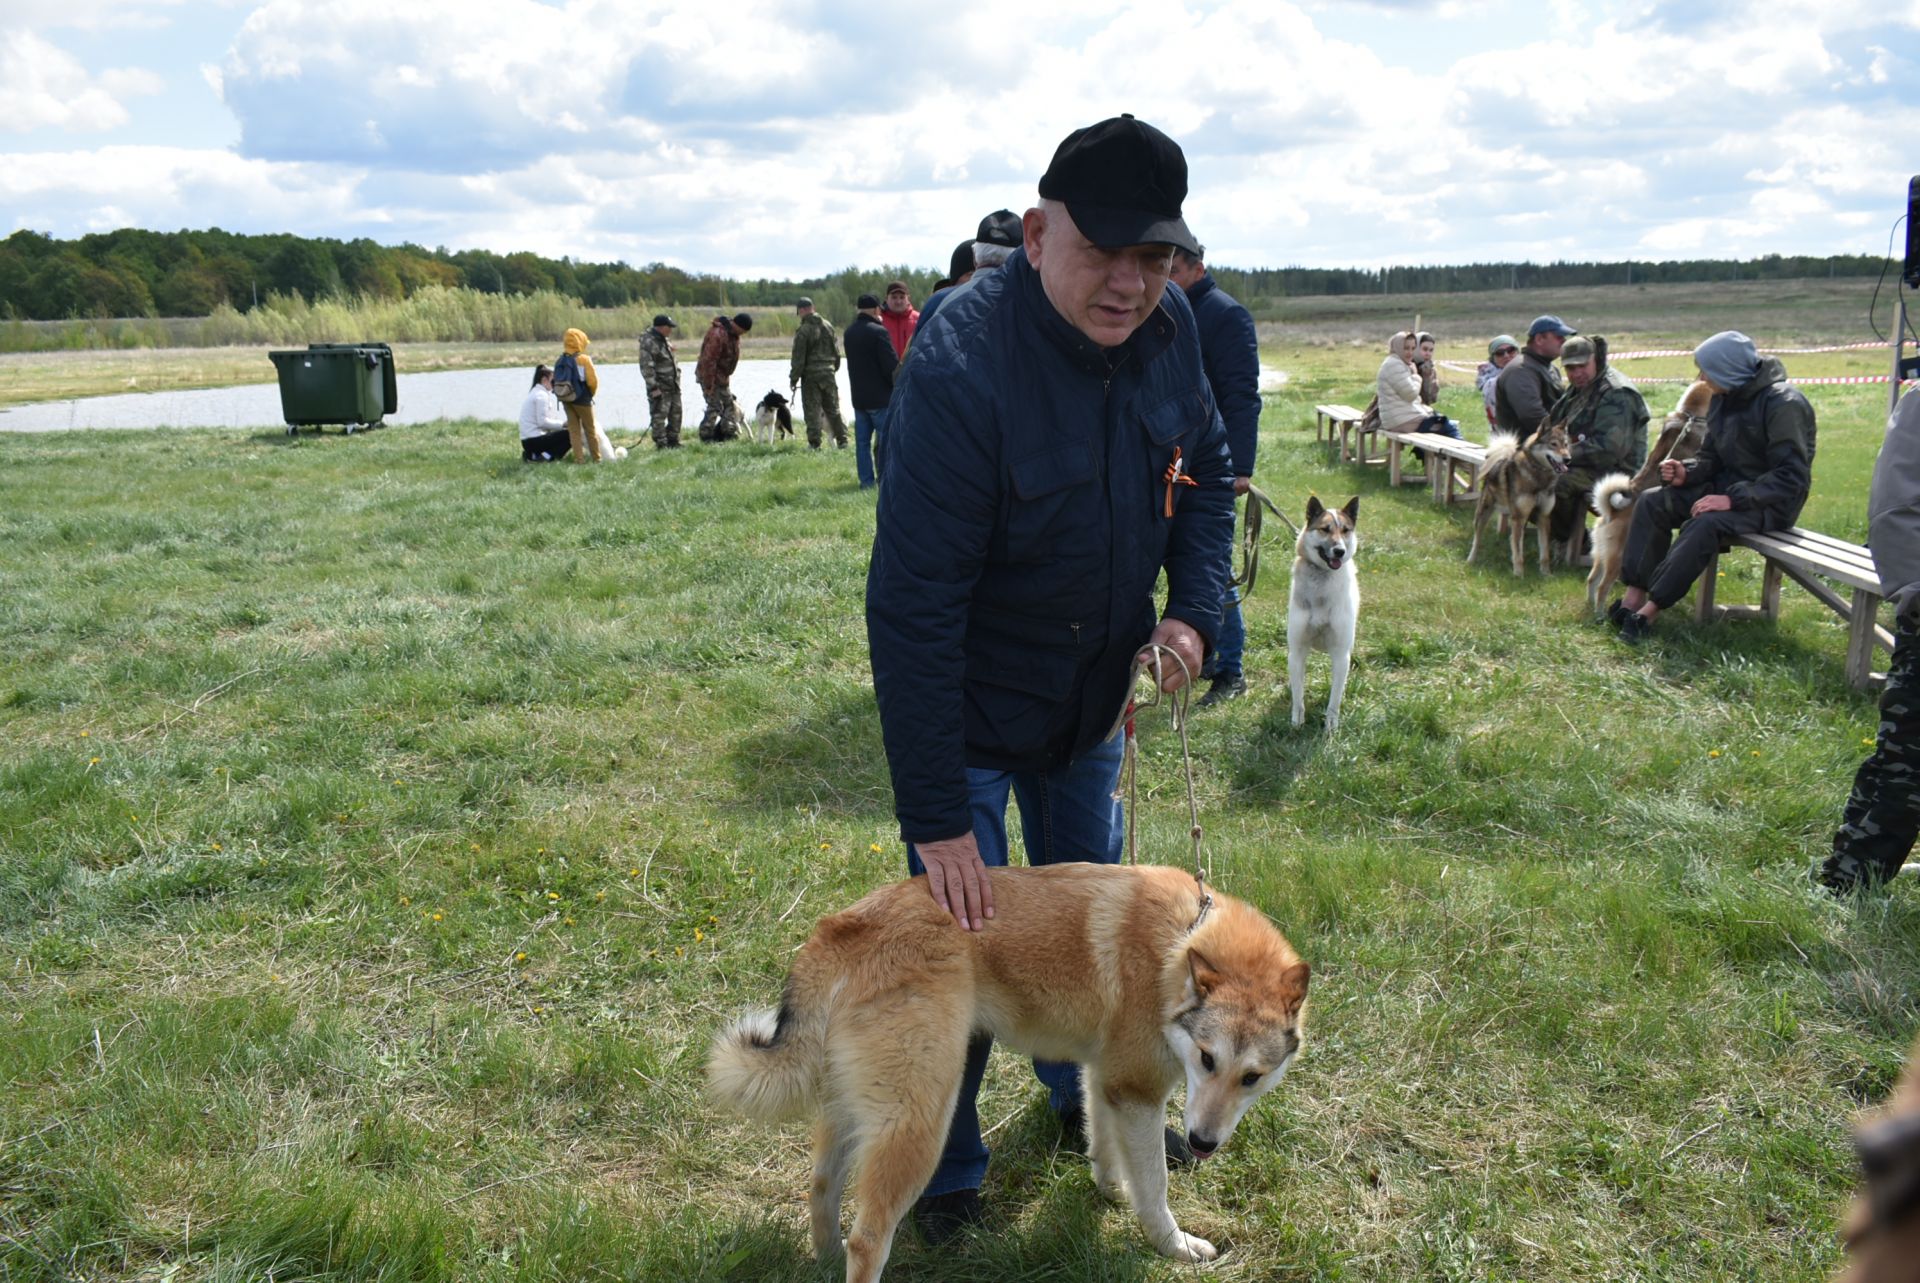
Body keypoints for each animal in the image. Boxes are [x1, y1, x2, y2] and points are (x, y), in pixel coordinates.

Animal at [714, 860, 1313, 1283]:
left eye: (1252, 1078)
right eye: (1207, 1059)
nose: (1202, 1143)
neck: (1181, 943)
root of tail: (844, 928)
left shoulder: (1105, 1082)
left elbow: (1106, 1148)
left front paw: (1111, 1191)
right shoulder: (1138, 1091)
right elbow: (1156, 1189)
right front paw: (1174, 1246)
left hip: (854, 1107)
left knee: (820, 1188)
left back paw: (824, 1256)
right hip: (922, 1121)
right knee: (868, 1240)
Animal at [1282, 495, 1359, 729]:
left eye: (1345, 530)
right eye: (1325, 529)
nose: (1340, 551)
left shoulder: (1341, 654)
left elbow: (1335, 697)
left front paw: (1331, 725)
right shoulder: (1297, 650)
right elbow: (1298, 695)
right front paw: (1297, 722)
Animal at [1582, 380, 1720, 614]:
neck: (1690, 415)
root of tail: (1612, 512)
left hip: (1600, 554)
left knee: (1591, 579)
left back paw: (1591, 606)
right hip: (1617, 558)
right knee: (1602, 586)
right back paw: (1600, 614)